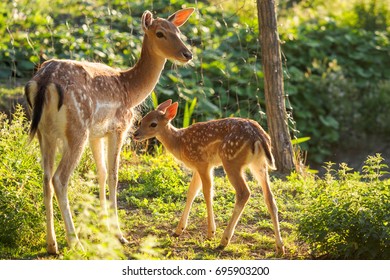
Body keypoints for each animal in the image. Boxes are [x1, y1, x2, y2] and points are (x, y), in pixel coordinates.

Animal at [24, 8, 195, 254]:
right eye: (160, 33)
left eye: (179, 31)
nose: (187, 54)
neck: (131, 90)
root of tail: (45, 82)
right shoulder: (120, 127)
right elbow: (114, 175)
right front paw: (118, 234)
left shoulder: (98, 134)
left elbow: (102, 172)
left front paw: (102, 224)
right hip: (77, 130)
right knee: (59, 178)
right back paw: (75, 242)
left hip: (44, 133)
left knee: (46, 178)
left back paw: (52, 244)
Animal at [133, 100, 284, 254]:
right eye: (141, 120)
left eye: (153, 124)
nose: (135, 134)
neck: (179, 143)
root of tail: (259, 137)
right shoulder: (197, 167)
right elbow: (191, 192)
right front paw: (178, 230)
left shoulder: (203, 163)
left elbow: (207, 192)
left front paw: (211, 233)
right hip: (259, 164)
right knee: (269, 197)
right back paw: (280, 246)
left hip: (231, 159)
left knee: (244, 192)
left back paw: (224, 241)